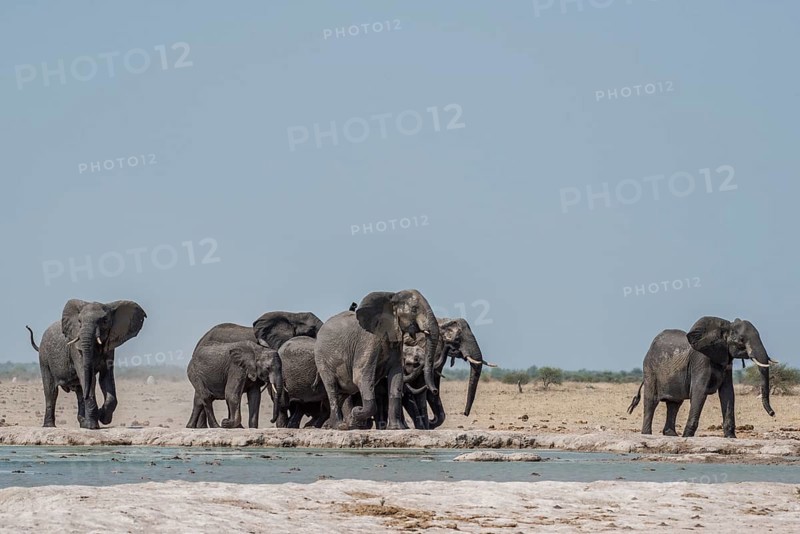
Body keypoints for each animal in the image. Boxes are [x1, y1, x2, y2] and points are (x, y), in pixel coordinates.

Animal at [26, 299, 146, 429]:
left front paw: (102, 418)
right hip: (44, 358)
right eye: (79, 321)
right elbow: (87, 377)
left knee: (79, 393)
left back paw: (83, 423)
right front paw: (93, 426)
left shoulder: (109, 348)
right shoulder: (76, 347)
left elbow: (105, 378)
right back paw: (49, 426)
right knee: (51, 391)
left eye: (105, 320)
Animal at [314, 289, 440, 430]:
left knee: (344, 391)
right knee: (332, 387)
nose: (435, 390)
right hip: (321, 358)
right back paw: (340, 425)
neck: (391, 298)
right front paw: (356, 413)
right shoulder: (368, 341)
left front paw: (396, 428)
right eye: (414, 309)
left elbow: (397, 376)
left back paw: (335, 426)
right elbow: (361, 376)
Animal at [627, 316, 777, 438]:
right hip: (650, 368)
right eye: (741, 340)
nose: (772, 413)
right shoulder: (701, 359)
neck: (725, 326)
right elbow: (699, 391)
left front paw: (731, 437)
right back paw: (647, 434)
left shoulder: (726, 359)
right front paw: (687, 436)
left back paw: (671, 434)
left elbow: (727, 392)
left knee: (674, 403)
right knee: (651, 401)